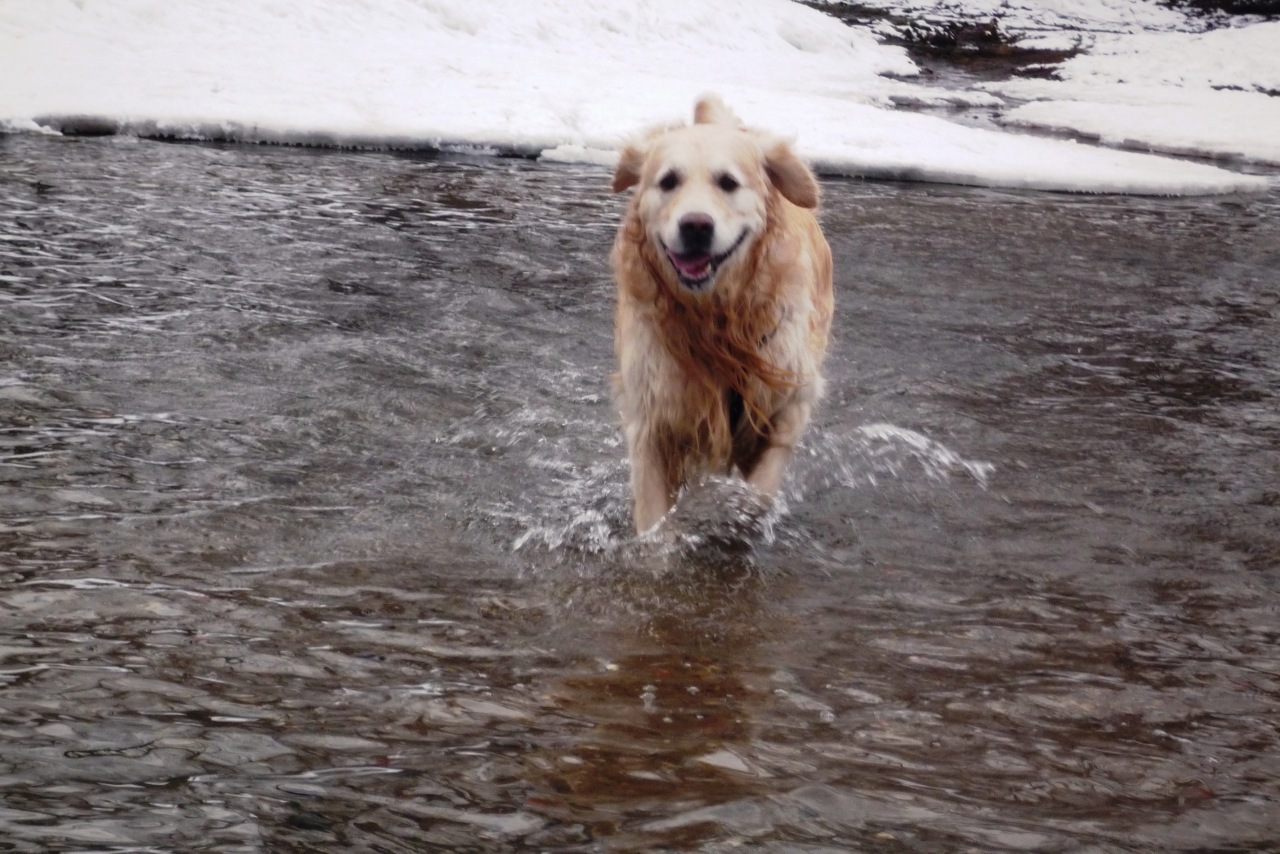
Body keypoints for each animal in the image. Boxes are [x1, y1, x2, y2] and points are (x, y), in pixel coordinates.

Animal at [611, 95, 834, 535]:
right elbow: (653, 521)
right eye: (668, 181)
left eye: (728, 182)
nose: (696, 226)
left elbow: (759, 492)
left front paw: (738, 512)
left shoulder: (788, 402)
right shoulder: (652, 414)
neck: (716, 318)